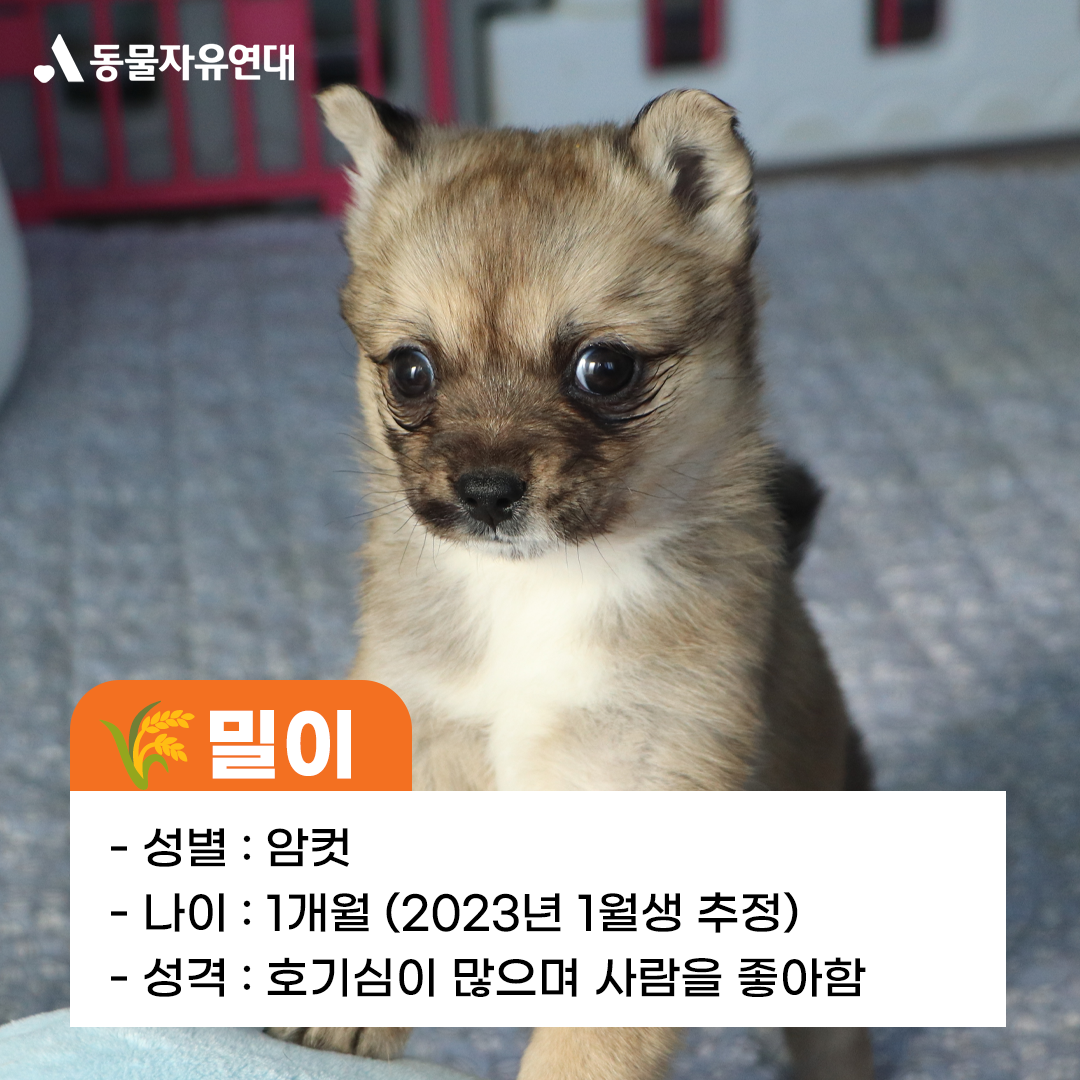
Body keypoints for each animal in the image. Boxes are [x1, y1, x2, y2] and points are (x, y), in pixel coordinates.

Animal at [269, 85, 874, 1080]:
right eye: (410, 370)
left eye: (606, 368)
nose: (485, 492)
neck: (540, 589)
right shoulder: (428, 740)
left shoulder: (642, 781)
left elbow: (588, 1044)